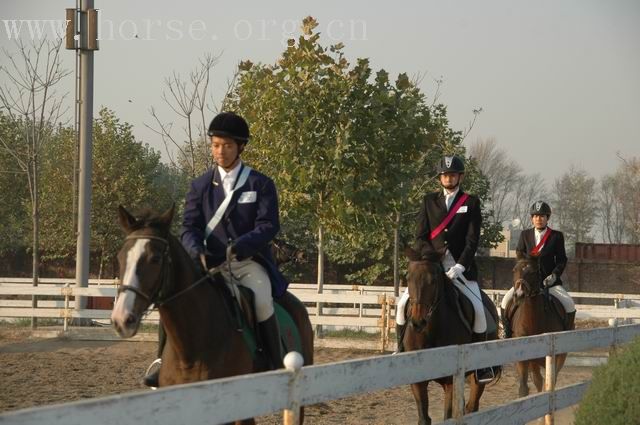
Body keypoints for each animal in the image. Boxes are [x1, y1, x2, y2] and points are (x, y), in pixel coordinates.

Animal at [404, 248, 500, 424]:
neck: (431, 332)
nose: (418, 322)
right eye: (408, 278)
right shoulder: (419, 382)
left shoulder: (450, 381)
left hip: (477, 376)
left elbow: (447, 416)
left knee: (472, 406)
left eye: (433, 280)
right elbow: (424, 418)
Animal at [510, 255, 576, 398]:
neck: (533, 321)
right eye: (514, 270)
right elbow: (523, 388)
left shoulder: (553, 359)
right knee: (538, 380)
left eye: (533, 272)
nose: (519, 295)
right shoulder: (524, 358)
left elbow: (550, 383)